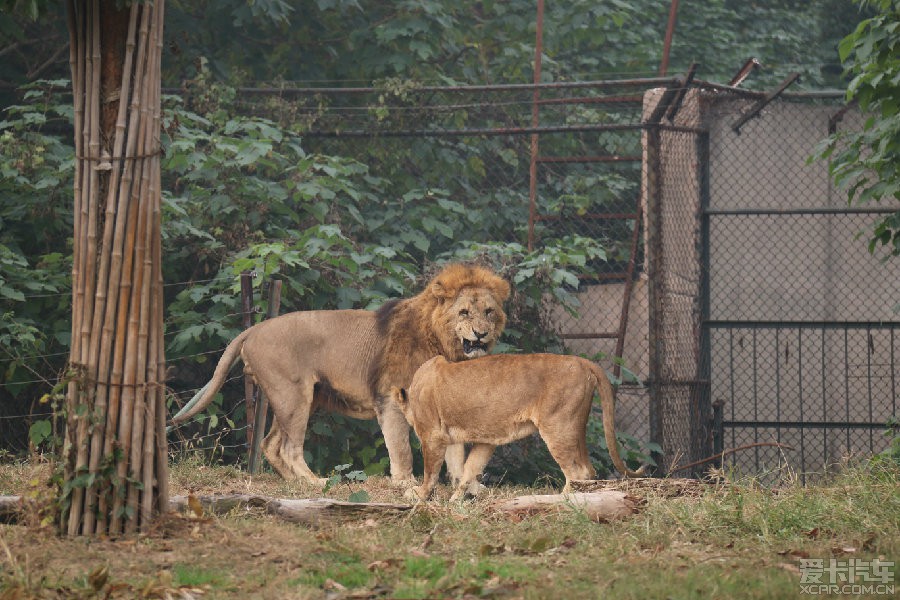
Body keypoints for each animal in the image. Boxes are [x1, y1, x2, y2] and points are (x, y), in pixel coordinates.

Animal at [169, 264, 506, 486]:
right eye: (464, 312)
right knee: (289, 448)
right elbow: (400, 448)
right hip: (294, 396)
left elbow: (456, 452)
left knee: (270, 444)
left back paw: (297, 484)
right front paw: (406, 486)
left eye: (489, 312)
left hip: (294, 398)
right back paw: (316, 483)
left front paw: (467, 487)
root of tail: (253, 329)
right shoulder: (390, 397)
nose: (481, 334)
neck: (443, 344)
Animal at [390, 354, 644, 500]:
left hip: (558, 426)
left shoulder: (431, 435)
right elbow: (469, 468)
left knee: (576, 472)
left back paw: (561, 501)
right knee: (588, 471)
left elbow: (430, 472)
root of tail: (584, 362)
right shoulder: (484, 441)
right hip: (576, 427)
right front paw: (456, 500)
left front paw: (420, 494)